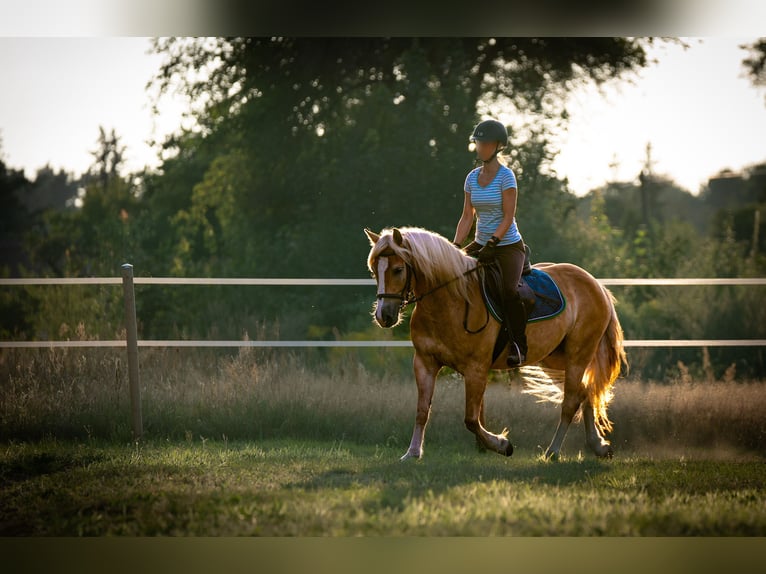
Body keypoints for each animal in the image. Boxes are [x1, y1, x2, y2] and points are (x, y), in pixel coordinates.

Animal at [368, 226, 632, 464]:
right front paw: (412, 453)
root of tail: (596, 284)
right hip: (556, 358)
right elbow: (422, 411)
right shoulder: (424, 363)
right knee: (586, 392)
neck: (451, 300)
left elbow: (471, 419)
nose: (384, 316)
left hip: (579, 354)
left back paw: (553, 452)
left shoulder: (476, 369)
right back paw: (598, 446)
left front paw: (502, 445)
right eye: (374, 271)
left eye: (398, 269)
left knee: (571, 401)